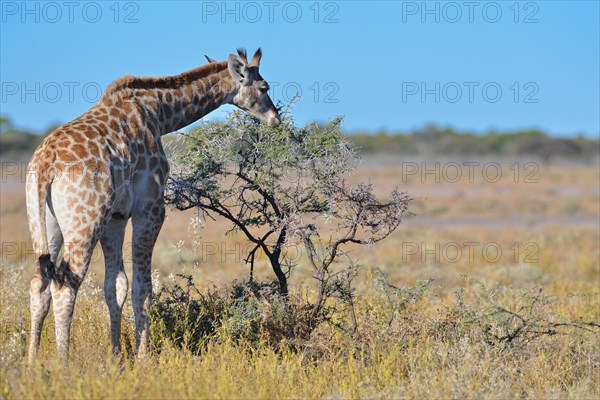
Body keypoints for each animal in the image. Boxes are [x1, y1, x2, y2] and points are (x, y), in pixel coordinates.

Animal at [26, 47, 282, 362]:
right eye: (264, 87)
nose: (275, 118)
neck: (159, 113)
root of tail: (47, 164)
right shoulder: (150, 208)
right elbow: (143, 287)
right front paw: (143, 357)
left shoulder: (116, 217)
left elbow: (115, 286)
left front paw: (117, 357)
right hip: (84, 223)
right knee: (65, 285)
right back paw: (63, 362)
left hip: (45, 222)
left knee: (39, 283)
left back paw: (32, 361)